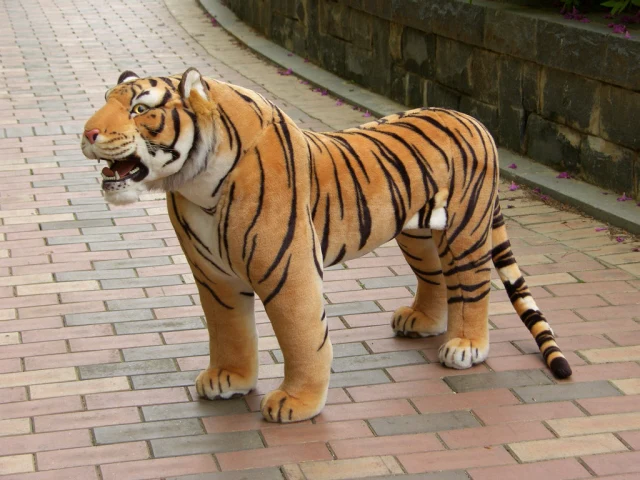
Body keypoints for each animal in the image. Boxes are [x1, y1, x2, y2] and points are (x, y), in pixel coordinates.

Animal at [81, 67, 572, 423]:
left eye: (140, 109)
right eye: (105, 100)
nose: (87, 134)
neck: (195, 183)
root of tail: (474, 120)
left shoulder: (287, 269)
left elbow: (302, 335)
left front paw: (296, 403)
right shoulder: (214, 276)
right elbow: (228, 330)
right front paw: (229, 378)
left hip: (465, 229)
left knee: (473, 286)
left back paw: (465, 346)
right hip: (417, 234)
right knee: (435, 277)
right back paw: (423, 322)